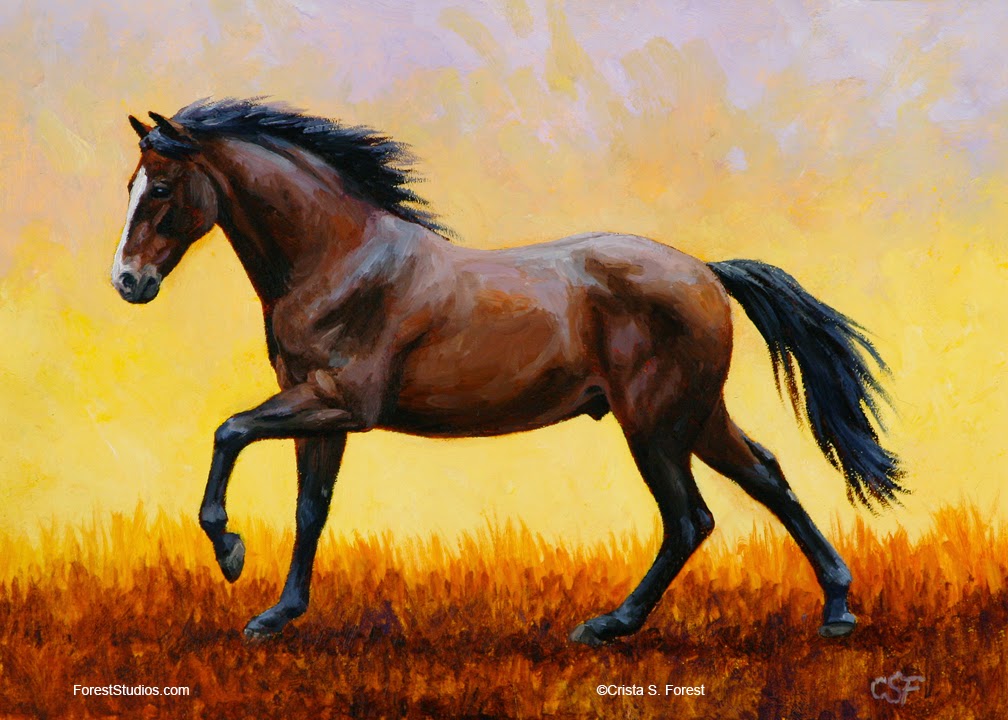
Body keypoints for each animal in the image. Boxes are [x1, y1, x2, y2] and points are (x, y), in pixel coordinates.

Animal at [111, 98, 904, 645]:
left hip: (654, 423)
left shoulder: (337, 402)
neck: (340, 259)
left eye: (161, 189)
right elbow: (313, 508)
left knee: (689, 519)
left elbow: (229, 431)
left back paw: (609, 626)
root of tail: (706, 272)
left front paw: (230, 552)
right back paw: (837, 609)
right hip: (696, 417)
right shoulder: (315, 407)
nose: (127, 282)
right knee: (767, 476)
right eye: (131, 186)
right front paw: (277, 614)